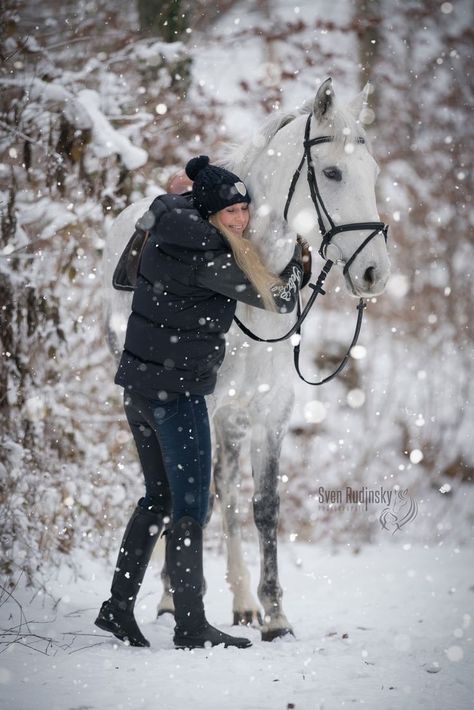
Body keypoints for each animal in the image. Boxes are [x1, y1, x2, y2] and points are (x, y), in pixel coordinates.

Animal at [102, 80, 390, 644]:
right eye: (332, 173)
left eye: (372, 173)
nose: (374, 273)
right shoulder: (207, 408)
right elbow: (200, 504)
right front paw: (202, 606)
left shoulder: (271, 411)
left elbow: (262, 505)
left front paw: (275, 614)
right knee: (182, 494)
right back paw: (170, 598)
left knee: (217, 496)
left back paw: (225, 601)